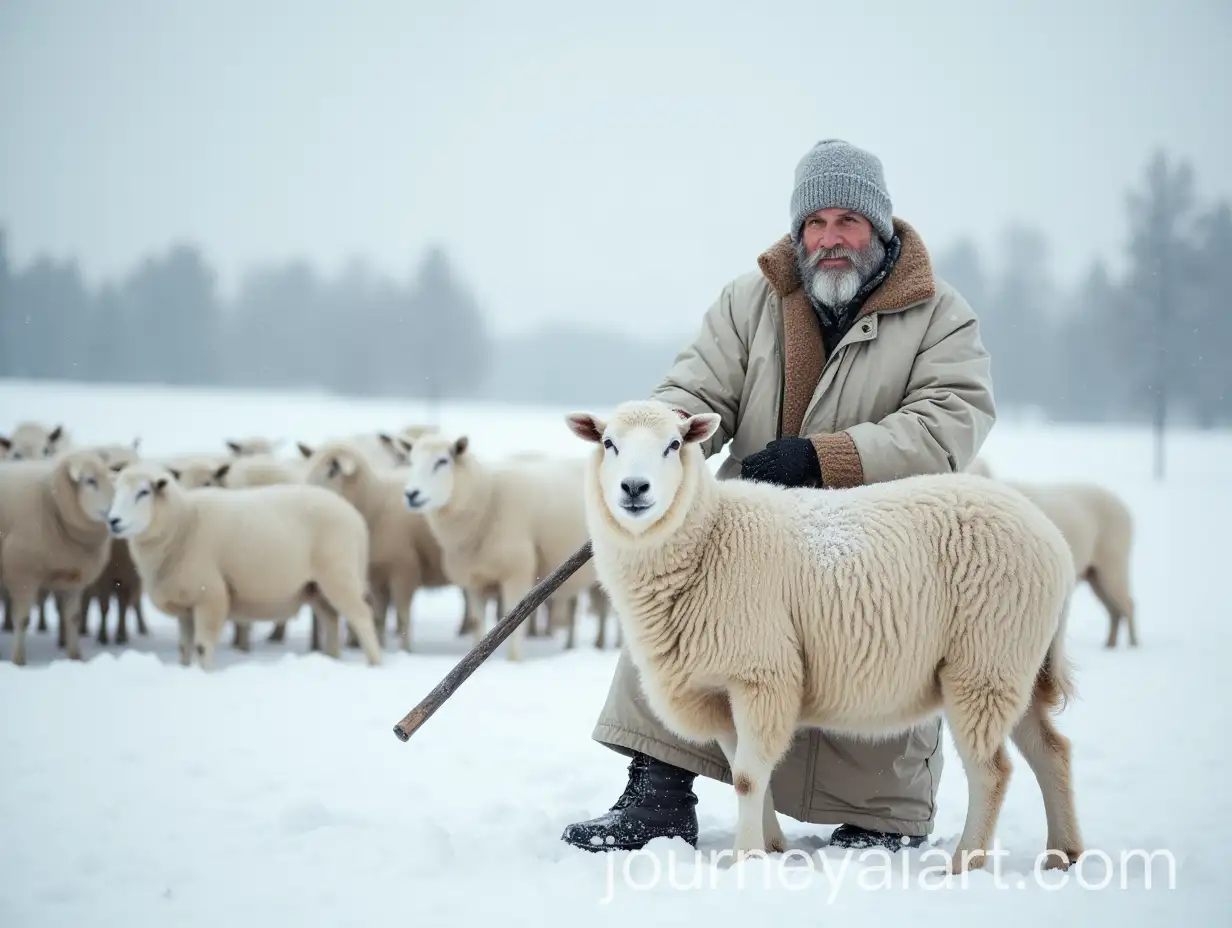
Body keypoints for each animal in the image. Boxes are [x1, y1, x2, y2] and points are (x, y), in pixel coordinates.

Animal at [0, 450, 115, 665]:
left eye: (111, 479)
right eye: (90, 481)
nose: (115, 512)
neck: (53, 501)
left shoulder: (74, 578)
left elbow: (74, 618)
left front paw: (75, 656)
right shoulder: (22, 574)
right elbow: (23, 619)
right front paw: (19, 659)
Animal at [106, 463, 382, 668]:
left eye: (143, 492)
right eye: (115, 491)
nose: (113, 521)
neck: (181, 522)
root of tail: (355, 517)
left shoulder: (210, 595)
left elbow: (202, 646)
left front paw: (203, 673)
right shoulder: (185, 604)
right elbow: (185, 648)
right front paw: (185, 670)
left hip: (339, 575)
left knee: (361, 617)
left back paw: (374, 662)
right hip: (315, 588)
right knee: (331, 620)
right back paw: (333, 659)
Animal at [301, 438, 451, 652]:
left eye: (333, 469)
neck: (374, 500)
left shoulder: (405, 570)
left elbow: (403, 616)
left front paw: (406, 650)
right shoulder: (376, 576)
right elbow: (379, 617)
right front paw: (381, 645)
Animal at [398, 432, 600, 662]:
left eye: (442, 461)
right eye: (411, 461)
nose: (411, 494)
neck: (486, 498)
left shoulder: (517, 571)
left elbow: (514, 620)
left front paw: (515, 660)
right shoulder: (474, 580)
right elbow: (477, 622)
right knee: (573, 606)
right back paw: (569, 646)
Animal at [1004, 480, 1138, 648]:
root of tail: (1124, 508)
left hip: (1112, 555)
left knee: (1126, 601)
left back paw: (1133, 643)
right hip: (1094, 573)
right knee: (1112, 607)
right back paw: (1110, 644)